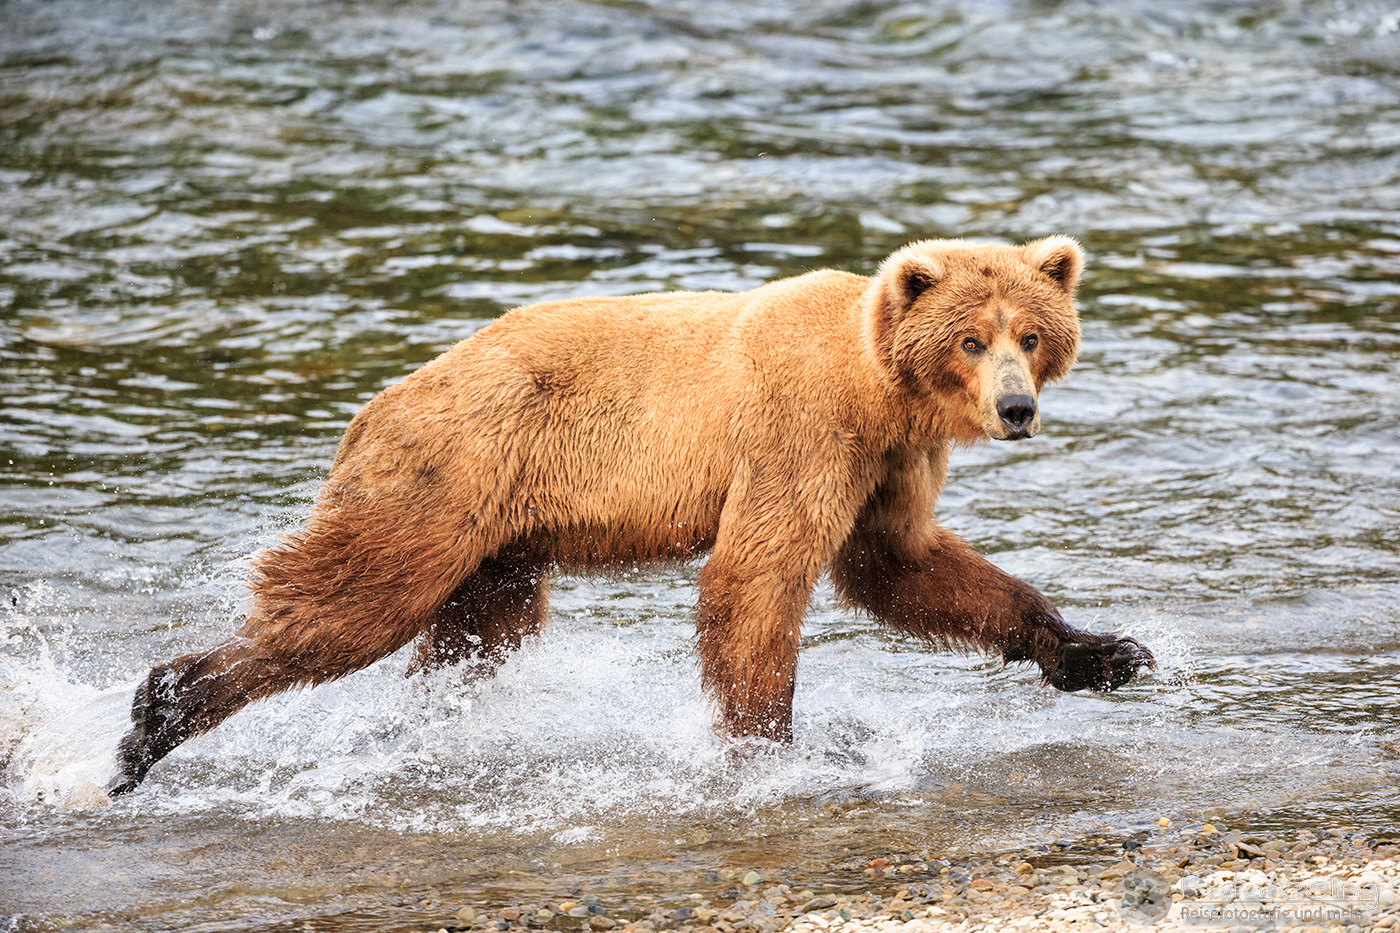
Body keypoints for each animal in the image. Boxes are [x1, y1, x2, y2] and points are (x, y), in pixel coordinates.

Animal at [108, 235, 1154, 795]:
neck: (879, 389)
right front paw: (768, 748)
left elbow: (902, 564)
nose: (1015, 408)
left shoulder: (890, 460)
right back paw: (154, 718)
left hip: (499, 543)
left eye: (1032, 331)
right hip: (442, 479)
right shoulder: (803, 430)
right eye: (972, 338)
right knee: (354, 603)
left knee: (474, 636)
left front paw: (1102, 651)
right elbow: (758, 574)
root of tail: (374, 405)